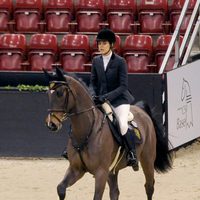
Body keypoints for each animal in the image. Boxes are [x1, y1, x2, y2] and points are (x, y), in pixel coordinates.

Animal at [44, 67, 173, 200]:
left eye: (59, 93)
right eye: (48, 94)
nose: (51, 124)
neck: (86, 132)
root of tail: (141, 110)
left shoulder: (101, 172)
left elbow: (97, 197)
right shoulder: (76, 169)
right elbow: (61, 189)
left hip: (147, 159)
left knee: (149, 186)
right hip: (113, 170)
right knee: (115, 192)